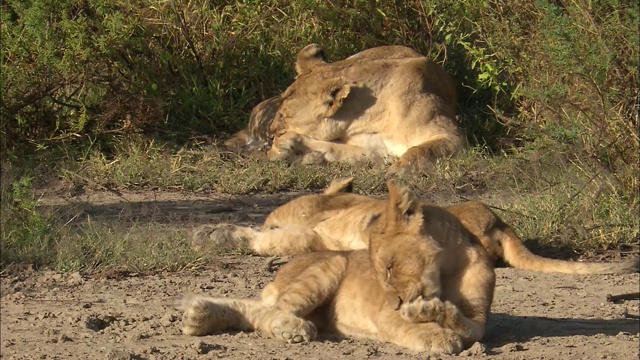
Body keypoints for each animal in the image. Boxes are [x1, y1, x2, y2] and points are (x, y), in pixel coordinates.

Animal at [180, 181, 496, 352]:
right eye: (382, 273)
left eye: (390, 267)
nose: (397, 303)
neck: (449, 273)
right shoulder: (385, 315)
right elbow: (409, 325)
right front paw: (434, 332)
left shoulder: (480, 319)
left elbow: (466, 325)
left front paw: (431, 312)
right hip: (330, 265)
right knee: (274, 312)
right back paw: (290, 329)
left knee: (257, 310)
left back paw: (199, 315)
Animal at [222, 43, 462, 173]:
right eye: (280, 111)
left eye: (286, 115)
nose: (271, 133)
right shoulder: (372, 150)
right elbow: (332, 148)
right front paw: (284, 147)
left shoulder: (452, 137)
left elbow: (421, 150)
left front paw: (399, 170)